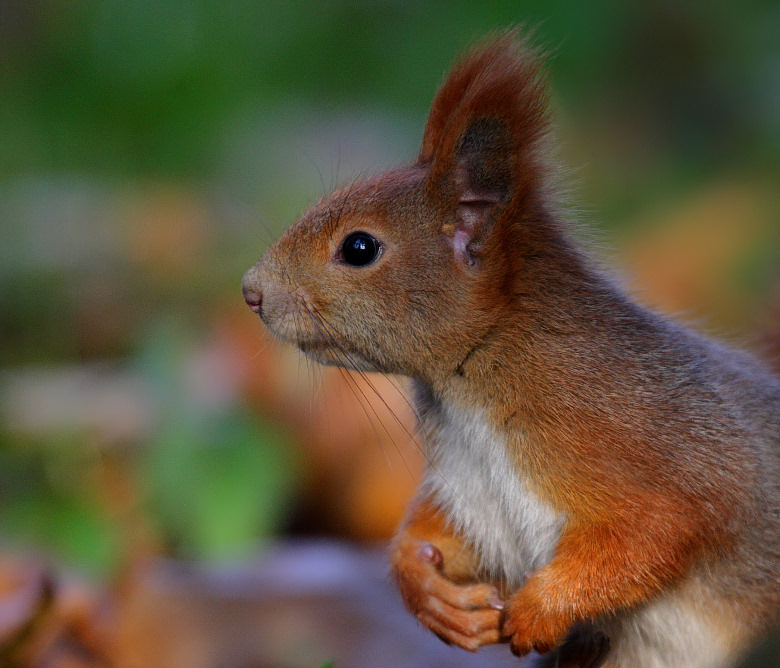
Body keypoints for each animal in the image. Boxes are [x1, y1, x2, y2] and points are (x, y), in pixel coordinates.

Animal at [242, 28, 780, 664]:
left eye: (358, 248)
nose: (251, 290)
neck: (474, 383)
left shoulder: (646, 441)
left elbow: (656, 529)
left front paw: (540, 611)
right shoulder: (471, 493)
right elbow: (439, 534)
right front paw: (426, 588)